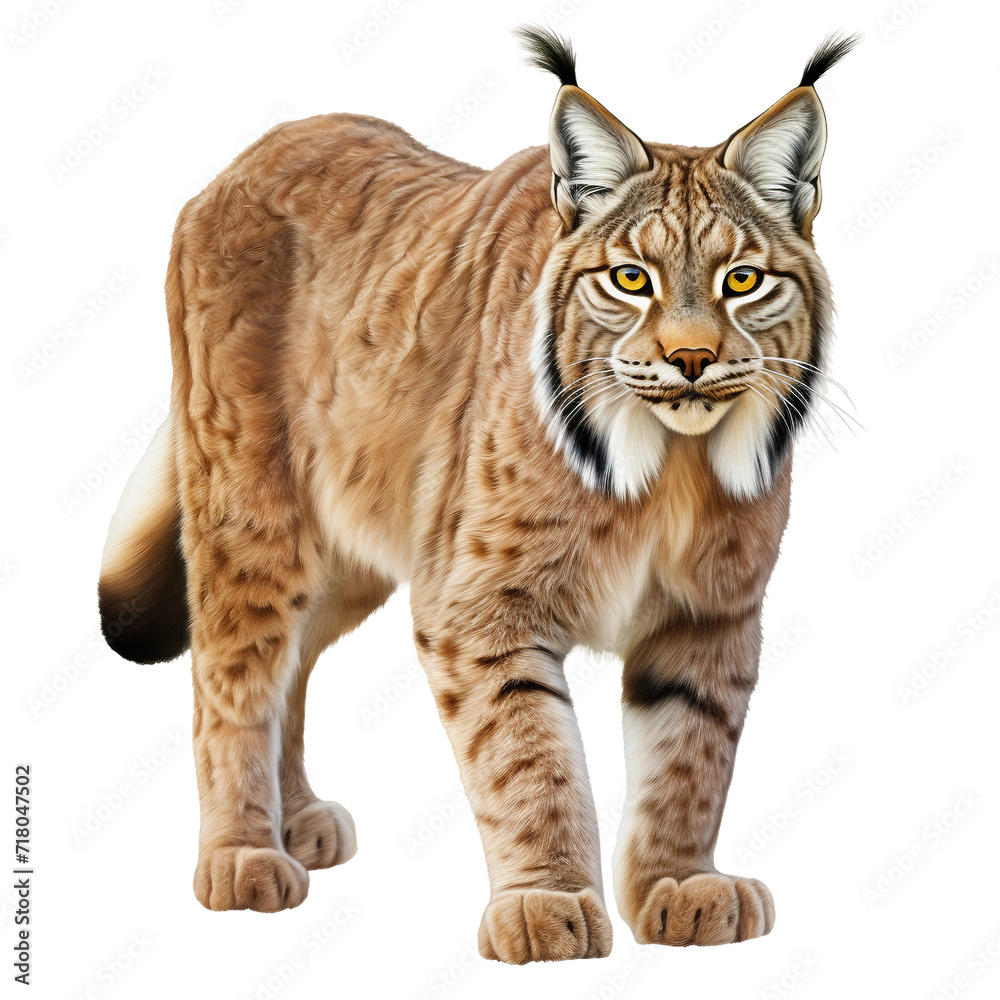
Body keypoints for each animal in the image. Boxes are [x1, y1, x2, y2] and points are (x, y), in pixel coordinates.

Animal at [97, 24, 857, 963]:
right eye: (630, 279)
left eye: (743, 281)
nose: (690, 359)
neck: (669, 466)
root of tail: (263, 144)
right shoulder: (480, 605)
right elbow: (527, 756)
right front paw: (547, 902)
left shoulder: (710, 614)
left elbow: (692, 758)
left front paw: (678, 882)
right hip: (254, 515)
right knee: (231, 666)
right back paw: (241, 855)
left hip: (361, 544)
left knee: (294, 658)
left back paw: (295, 818)